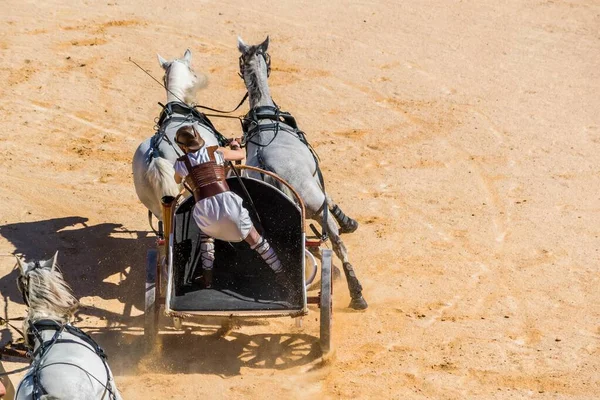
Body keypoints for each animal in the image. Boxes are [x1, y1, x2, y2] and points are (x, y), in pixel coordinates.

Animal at [237, 36, 368, 310]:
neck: (265, 120)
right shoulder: (317, 188)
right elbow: (332, 201)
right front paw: (349, 222)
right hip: (316, 206)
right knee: (338, 245)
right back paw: (357, 294)